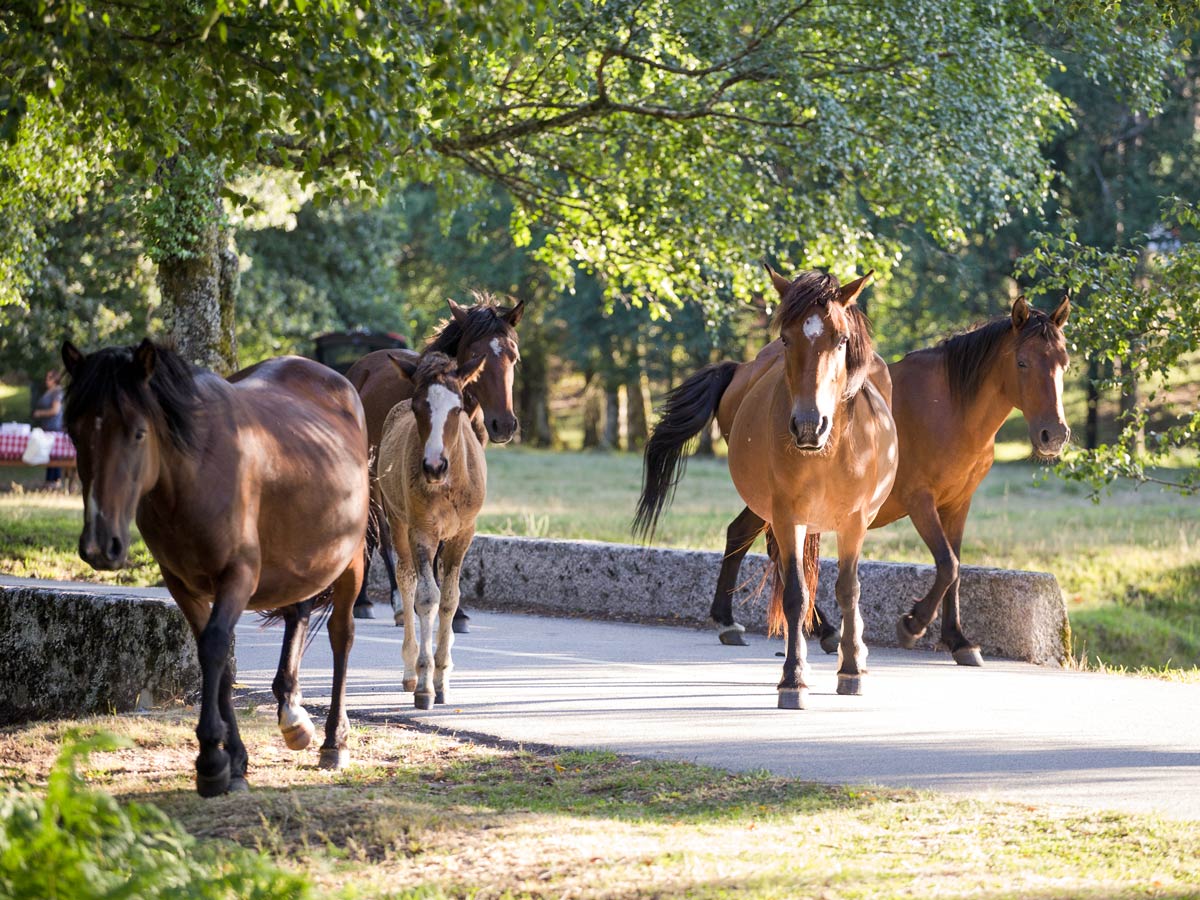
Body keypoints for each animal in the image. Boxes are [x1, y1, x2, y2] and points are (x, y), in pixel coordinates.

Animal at [60, 340, 367, 801]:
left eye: (138, 432)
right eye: (75, 433)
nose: (101, 545)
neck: (194, 473)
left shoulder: (237, 576)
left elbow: (215, 647)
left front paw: (210, 759)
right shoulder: (183, 585)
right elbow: (216, 662)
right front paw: (234, 762)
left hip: (351, 561)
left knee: (341, 636)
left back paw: (334, 741)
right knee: (297, 612)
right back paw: (292, 714)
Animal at [343, 292, 520, 624]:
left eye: (513, 356)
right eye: (476, 354)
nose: (503, 424)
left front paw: (457, 613)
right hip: (373, 479)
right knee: (379, 536)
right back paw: (374, 602)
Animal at [633, 270, 897, 710]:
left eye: (841, 340)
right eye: (787, 338)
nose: (809, 425)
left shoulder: (854, 521)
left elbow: (849, 590)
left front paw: (850, 669)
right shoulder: (787, 514)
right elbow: (794, 593)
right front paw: (793, 678)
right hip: (768, 507)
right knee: (748, 539)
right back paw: (735, 622)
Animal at [700, 292, 1070, 667]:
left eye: (1065, 364)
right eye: (1022, 362)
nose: (1053, 435)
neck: (951, 407)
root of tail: (742, 373)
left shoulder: (957, 504)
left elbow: (955, 569)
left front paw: (958, 640)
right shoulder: (920, 501)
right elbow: (947, 564)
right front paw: (913, 623)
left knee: (743, 535)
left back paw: (742, 621)